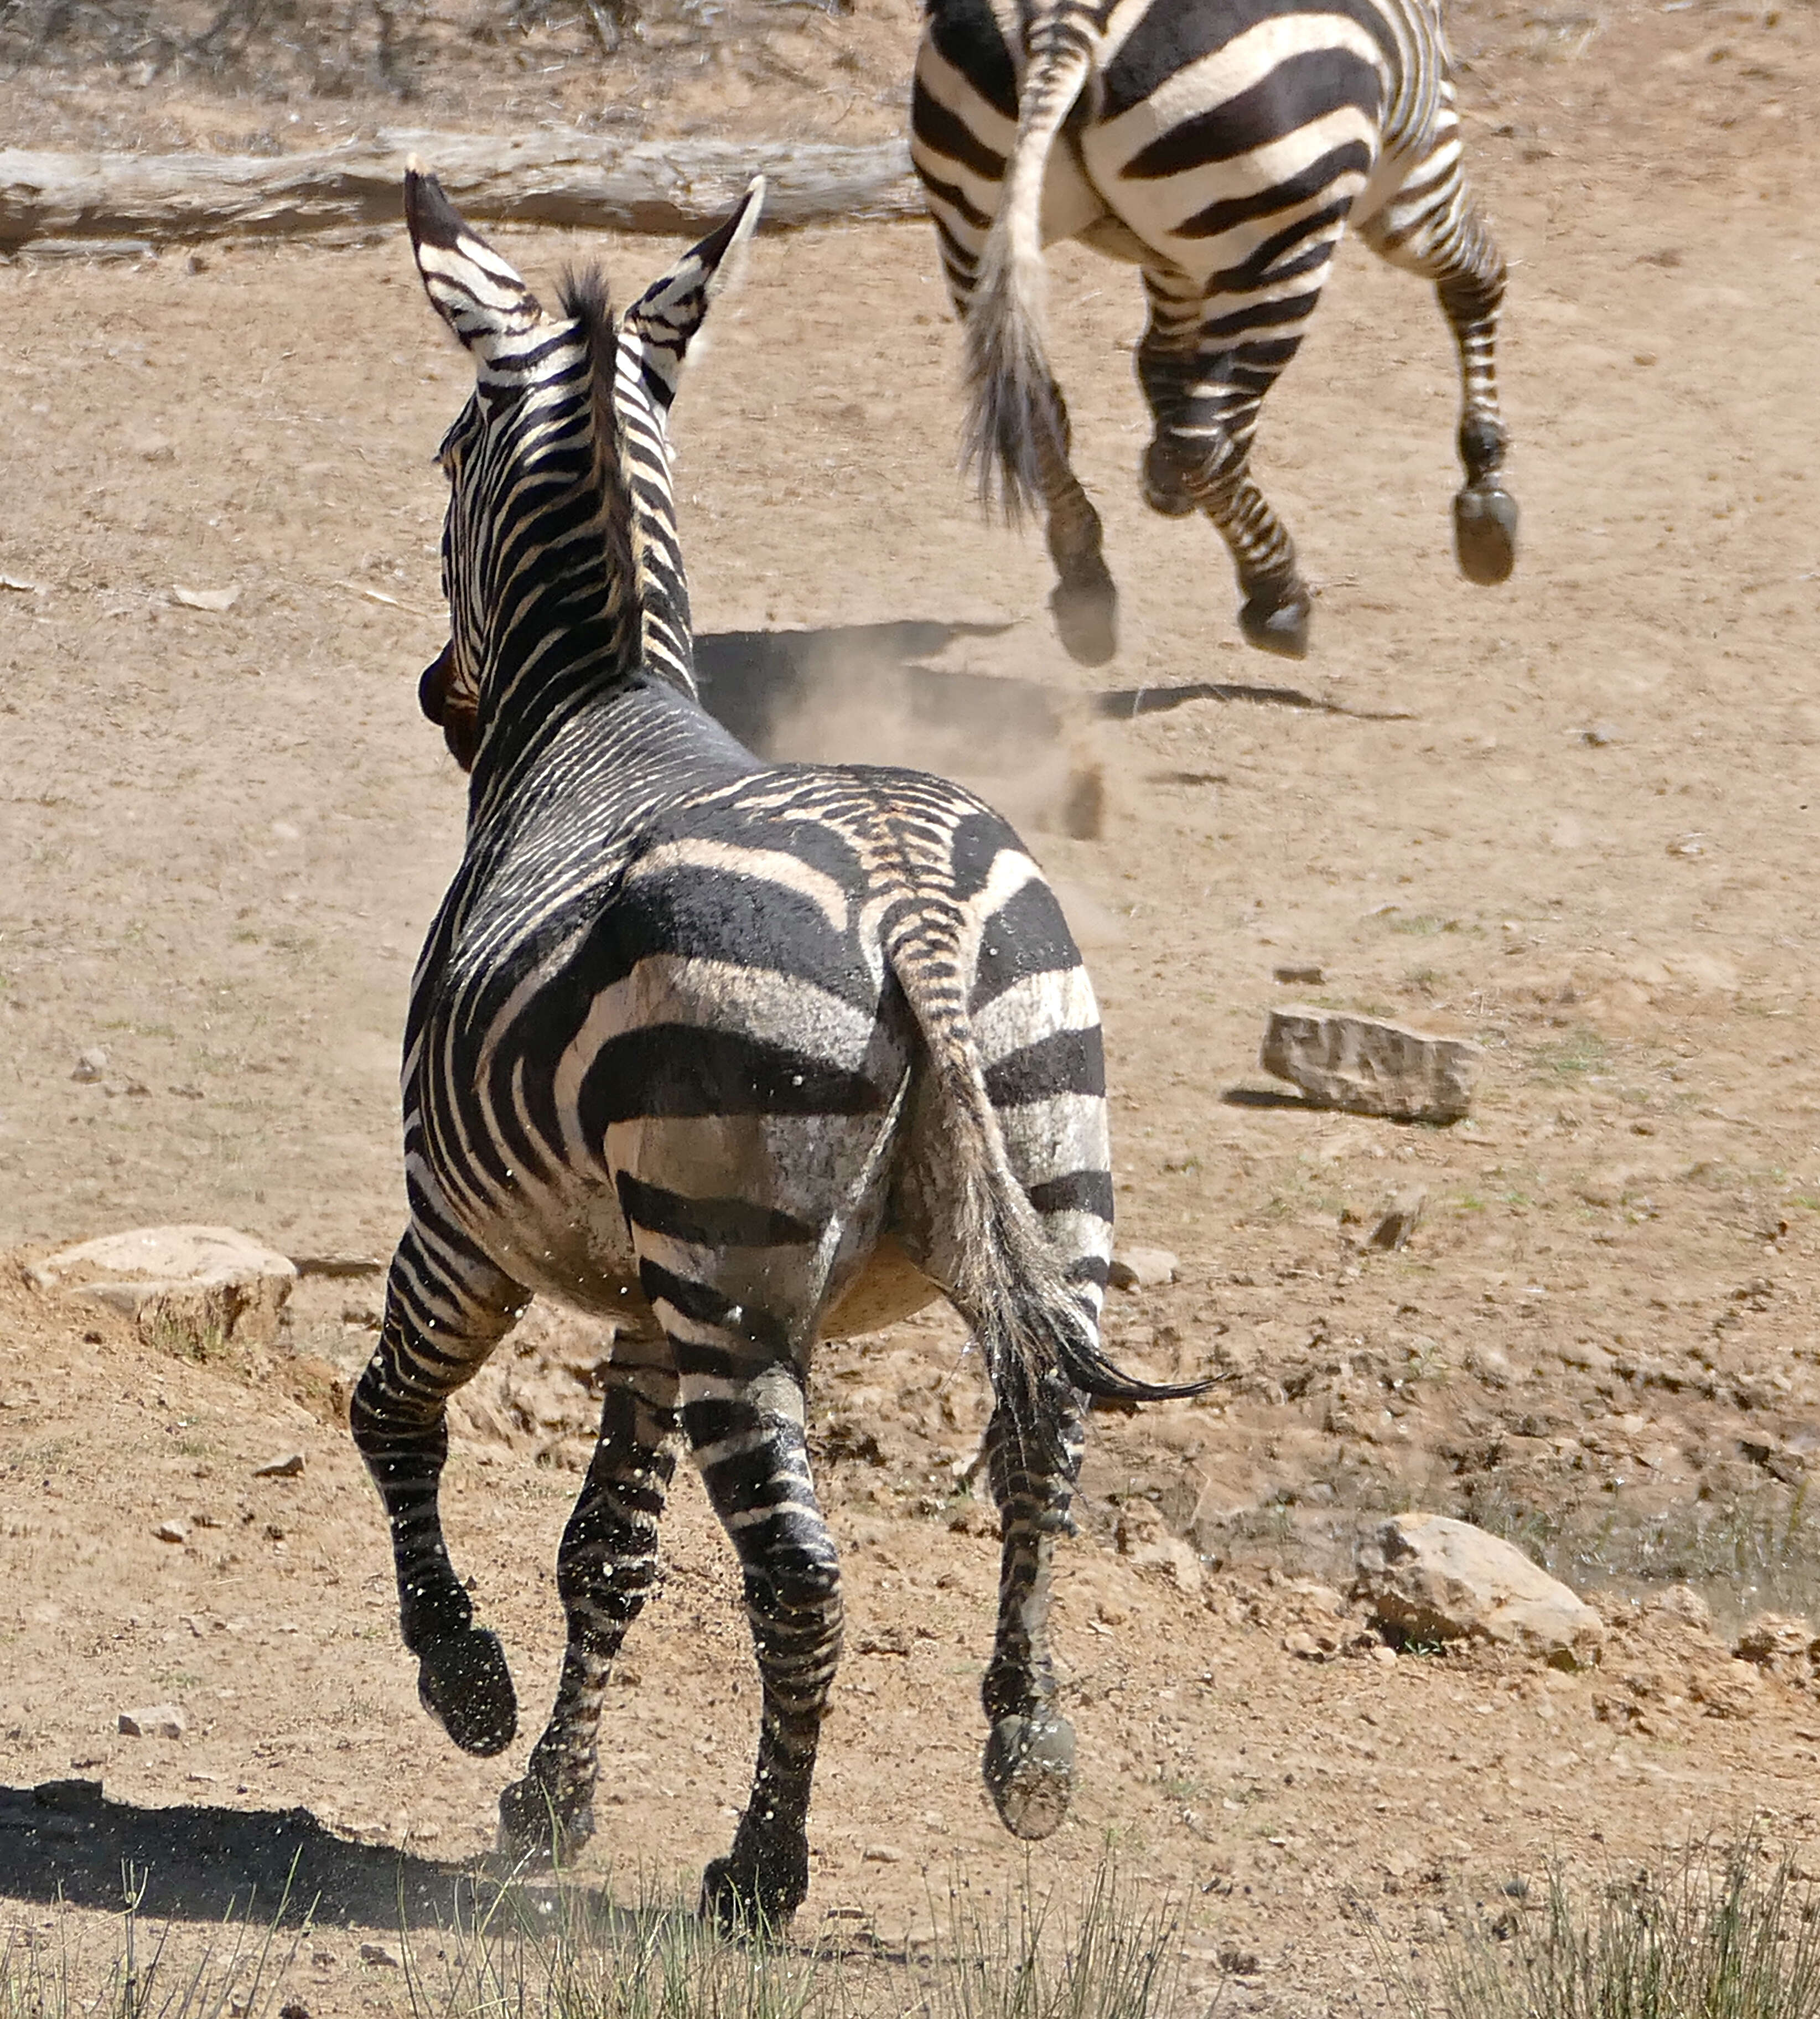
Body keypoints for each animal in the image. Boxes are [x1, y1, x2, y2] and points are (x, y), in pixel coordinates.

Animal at [355, 165, 1210, 1930]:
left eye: (445, 457)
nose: (435, 695)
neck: (592, 713)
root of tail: (910, 904)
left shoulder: (460, 1225)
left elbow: (391, 1417)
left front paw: (466, 1693)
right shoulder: (635, 1299)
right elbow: (604, 1549)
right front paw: (549, 1802)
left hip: (736, 1280)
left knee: (801, 1575)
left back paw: (762, 1869)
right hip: (1047, 1173)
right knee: (1043, 1457)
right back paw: (1027, 1755)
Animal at [912, 0, 1525, 670]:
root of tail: (1061, 19)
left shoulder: (1177, 259)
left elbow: (1163, 359)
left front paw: (1161, 476)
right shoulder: (1419, 165)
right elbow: (1478, 281)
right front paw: (1485, 497)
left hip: (968, 229)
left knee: (1041, 414)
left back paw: (1085, 585)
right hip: (1281, 231)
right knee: (1201, 442)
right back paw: (1277, 597)